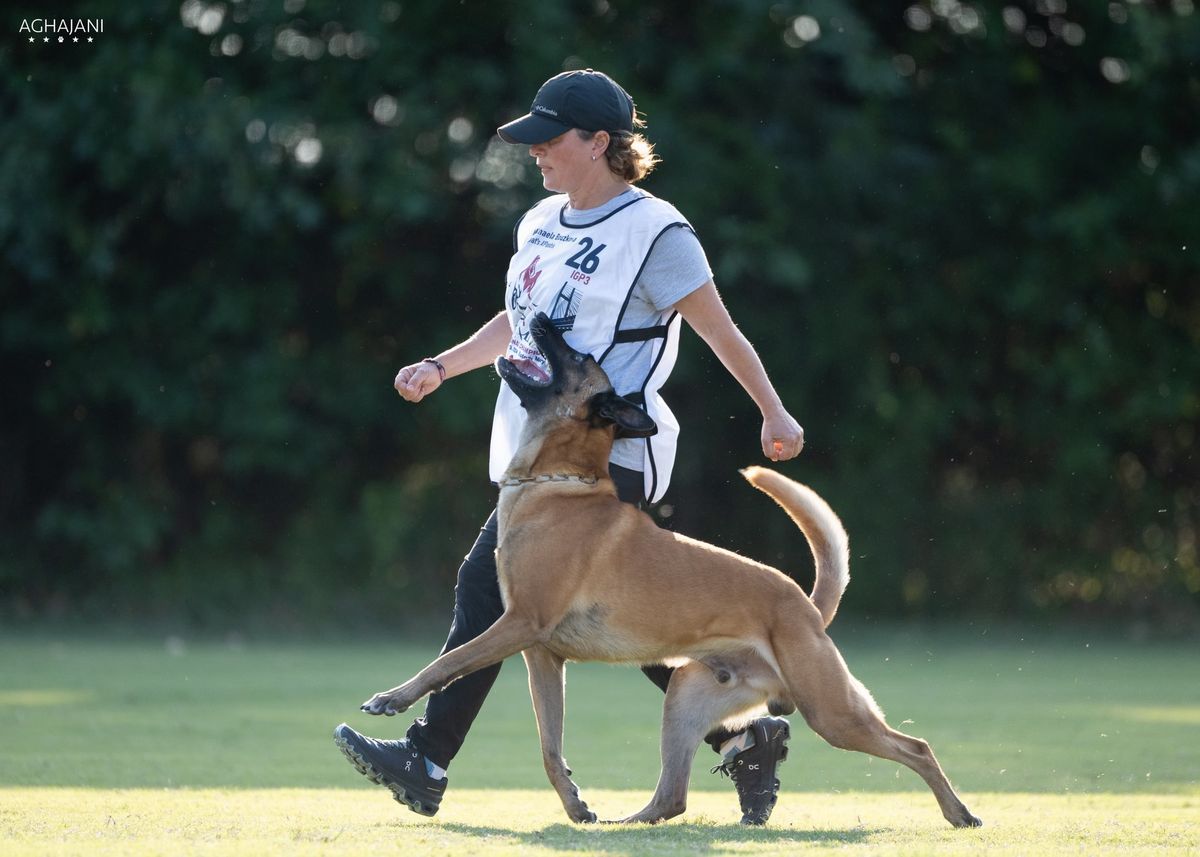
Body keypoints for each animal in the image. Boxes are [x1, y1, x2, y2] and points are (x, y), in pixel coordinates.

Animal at [360, 309, 979, 825]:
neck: (559, 486)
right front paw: (576, 806)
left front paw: (390, 698)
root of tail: (805, 607)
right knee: (673, 794)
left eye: (579, 357)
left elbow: (447, 665)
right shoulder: (541, 655)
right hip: (686, 695)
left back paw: (961, 813)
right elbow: (549, 746)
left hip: (833, 712)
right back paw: (627, 822)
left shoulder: (517, 625)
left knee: (917, 747)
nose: (540, 318)